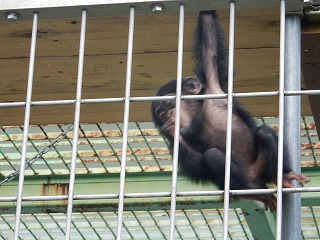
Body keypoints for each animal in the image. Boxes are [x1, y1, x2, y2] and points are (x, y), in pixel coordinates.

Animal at [151, 10, 308, 211]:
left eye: (170, 103)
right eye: (161, 115)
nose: (169, 115)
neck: (197, 115)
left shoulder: (213, 85)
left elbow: (209, 44)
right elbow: (196, 163)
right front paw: (172, 131)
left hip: (260, 169)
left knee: (265, 133)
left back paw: (283, 178)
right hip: (237, 183)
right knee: (214, 156)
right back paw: (256, 193)